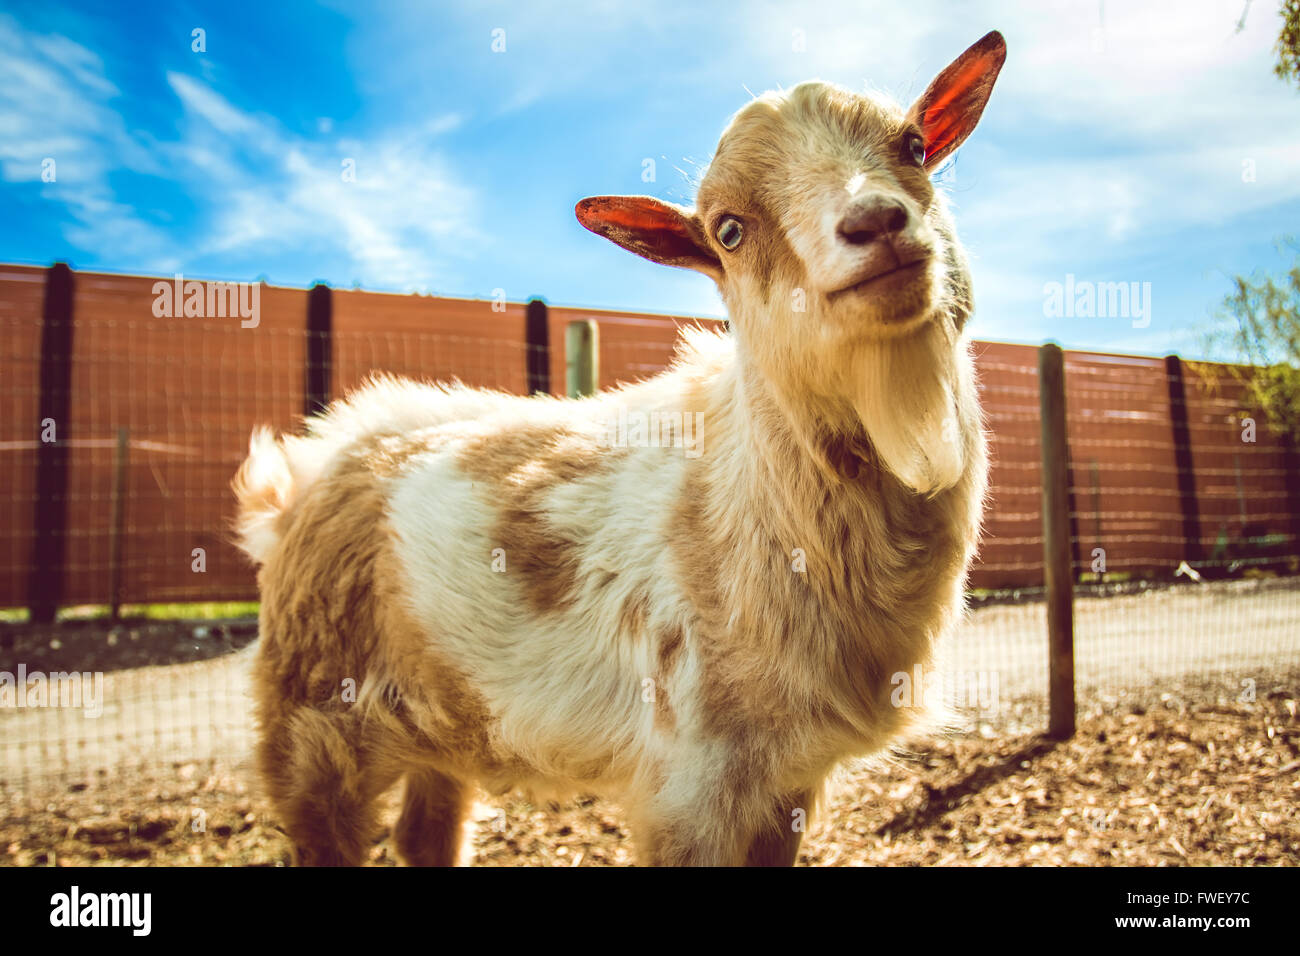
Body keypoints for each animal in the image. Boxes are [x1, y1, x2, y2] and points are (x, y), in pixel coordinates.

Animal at [231, 31, 1003, 868]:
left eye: (915, 147)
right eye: (729, 230)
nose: (876, 223)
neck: (734, 502)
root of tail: (304, 473)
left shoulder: (789, 778)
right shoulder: (692, 783)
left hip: (443, 724)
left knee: (425, 836)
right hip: (311, 724)